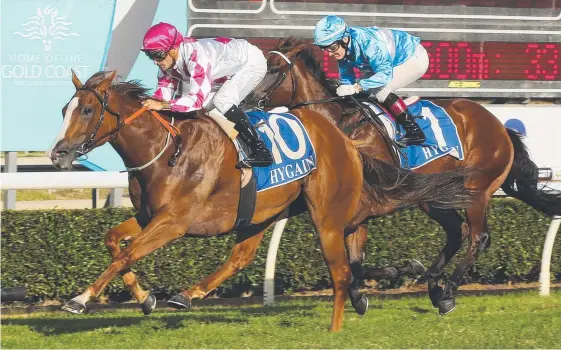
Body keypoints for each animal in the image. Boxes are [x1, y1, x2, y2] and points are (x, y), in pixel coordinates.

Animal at [50, 68, 474, 330]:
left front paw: (80, 298)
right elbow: (114, 243)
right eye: (64, 108)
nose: (57, 154)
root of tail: (344, 139)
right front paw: (146, 299)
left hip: (327, 210)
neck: (166, 151)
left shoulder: (174, 222)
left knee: (346, 257)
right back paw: (186, 296)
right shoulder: (149, 215)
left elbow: (125, 254)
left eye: (86, 109)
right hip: (262, 213)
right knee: (243, 257)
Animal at [244, 38, 560, 314]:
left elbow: (354, 263)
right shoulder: (352, 215)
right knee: (456, 232)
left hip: (476, 190)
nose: (247, 101)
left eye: (273, 69)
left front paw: (406, 269)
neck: (341, 129)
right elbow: (352, 262)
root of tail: (500, 126)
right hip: (434, 197)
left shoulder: (368, 206)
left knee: (478, 237)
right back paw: (434, 285)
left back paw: (447, 292)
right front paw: (361, 297)